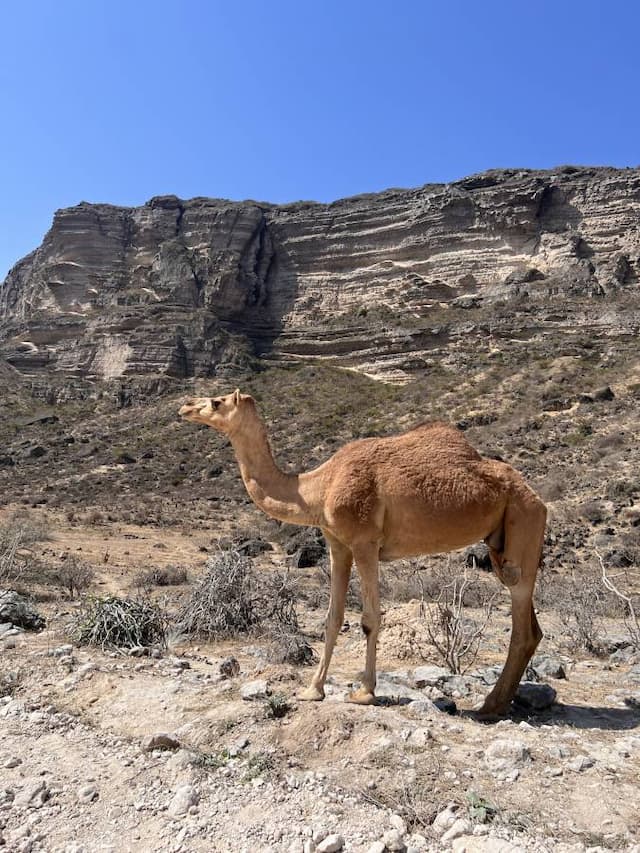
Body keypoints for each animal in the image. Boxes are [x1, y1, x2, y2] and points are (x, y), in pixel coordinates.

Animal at [179, 390, 544, 716]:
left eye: (216, 402)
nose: (186, 406)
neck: (320, 487)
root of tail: (538, 498)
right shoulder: (338, 546)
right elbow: (332, 618)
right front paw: (312, 689)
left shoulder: (365, 542)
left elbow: (370, 618)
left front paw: (365, 692)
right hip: (500, 544)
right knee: (532, 628)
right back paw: (496, 703)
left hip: (523, 522)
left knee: (522, 620)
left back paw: (490, 706)